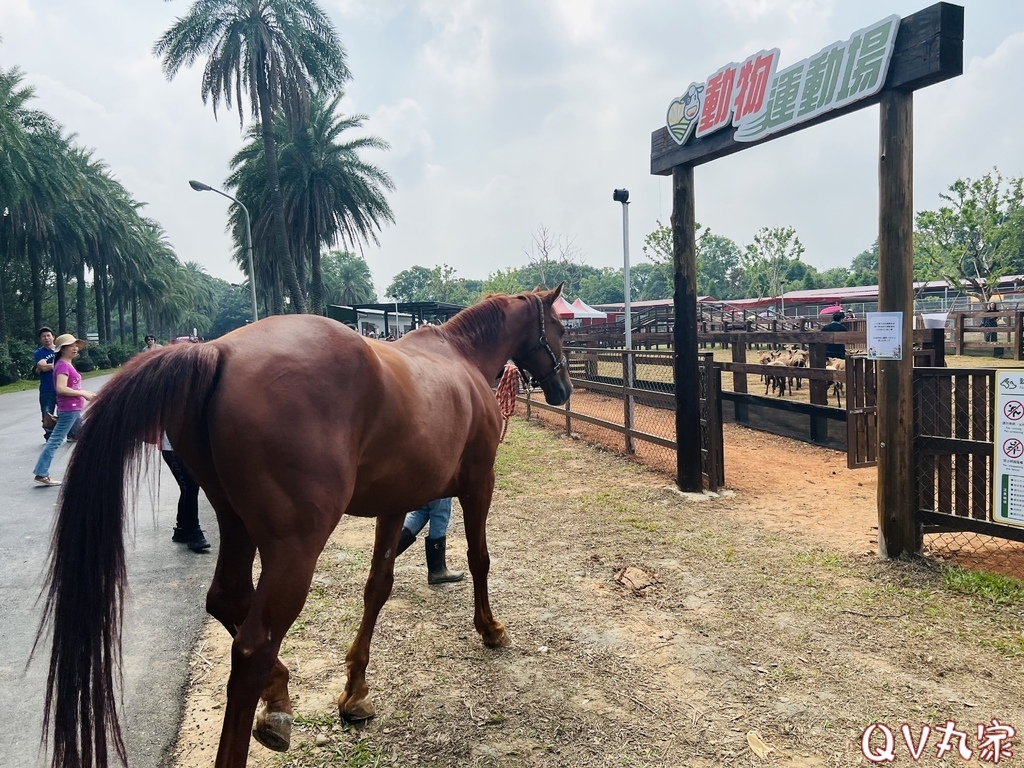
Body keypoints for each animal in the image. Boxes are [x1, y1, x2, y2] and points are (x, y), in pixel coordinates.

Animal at [36, 286, 573, 768]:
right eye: (562, 328)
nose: (564, 389)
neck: (459, 359)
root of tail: (218, 350)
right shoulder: (479, 484)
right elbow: (480, 559)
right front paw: (491, 629)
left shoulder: (394, 504)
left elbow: (377, 586)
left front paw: (355, 692)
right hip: (295, 549)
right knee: (251, 647)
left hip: (237, 525)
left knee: (226, 599)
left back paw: (278, 698)